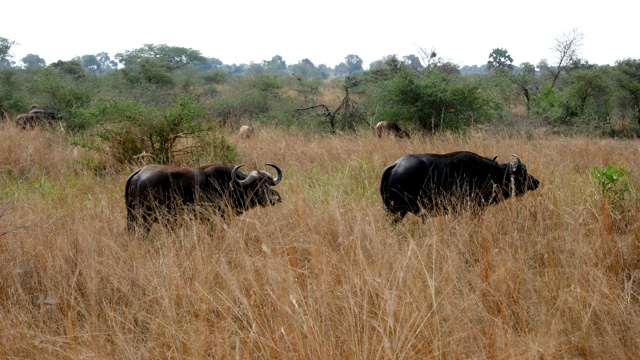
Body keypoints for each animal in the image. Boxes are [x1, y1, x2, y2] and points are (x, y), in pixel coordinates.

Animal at [125, 163, 282, 233]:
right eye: (256, 185)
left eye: (267, 184)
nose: (273, 199)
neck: (228, 184)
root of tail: (140, 173)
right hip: (145, 217)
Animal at [380, 150, 540, 224]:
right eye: (523, 172)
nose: (536, 181)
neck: (490, 174)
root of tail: (395, 165)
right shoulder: (474, 209)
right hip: (397, 212)